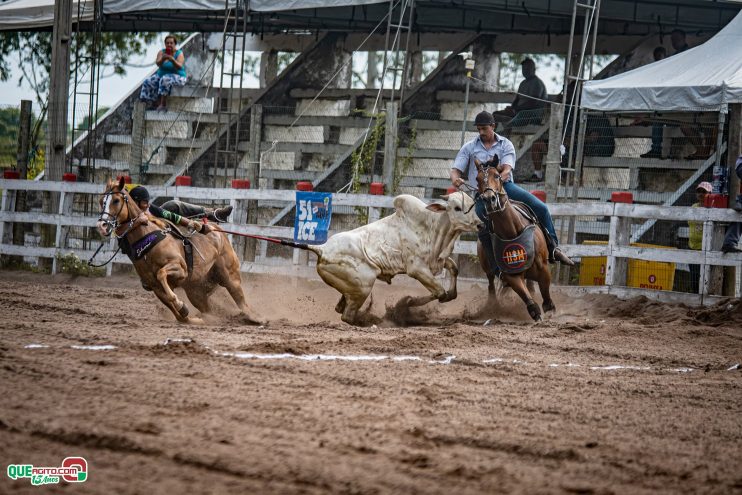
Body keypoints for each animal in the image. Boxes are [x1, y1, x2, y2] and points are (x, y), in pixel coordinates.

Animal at [97, 178, 264, 326]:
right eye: (101, 201)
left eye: (116, 200)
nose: (102, 225)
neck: (146, 239)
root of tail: (217, 230)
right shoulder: (154, 286)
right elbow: (175, 310)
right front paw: (185, 312)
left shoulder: (180, 268)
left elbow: (162, 274)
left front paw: (179, 304)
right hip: (196, 291)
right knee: (208, 308)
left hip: (229, 275)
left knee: (241, 301)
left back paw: (256, 319)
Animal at [306, 193, 480, 326]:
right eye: (457, 208)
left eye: (473, 205)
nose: (480, 224)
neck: (431, 228)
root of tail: (322, 249)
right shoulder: (417, 269)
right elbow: (440, 293)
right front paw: (408, 303)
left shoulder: (438, 261)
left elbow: (453, 273)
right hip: (364, 286)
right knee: (347, 316)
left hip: (353, 288)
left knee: (340, 308)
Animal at [480, 159, 556, 322]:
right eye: (477, 179)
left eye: (497, 176)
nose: (489, 199)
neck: (512, 230)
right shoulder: (510, 274)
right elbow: (524, 294)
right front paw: (535, 312)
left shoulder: (543, 267)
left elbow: (545, 289)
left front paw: (549, 308)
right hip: (488, 269)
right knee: (491, 284)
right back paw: (492, 305)